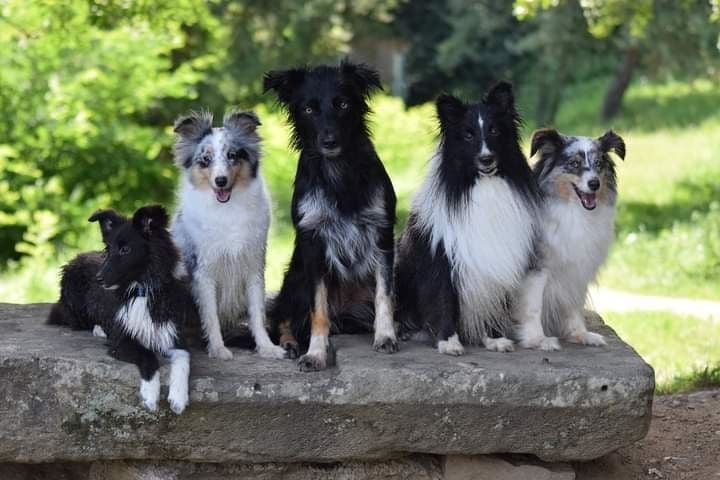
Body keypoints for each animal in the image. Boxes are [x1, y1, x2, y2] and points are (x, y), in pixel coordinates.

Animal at [48, 205, 200, 412]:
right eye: (108, 249)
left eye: (125, 249)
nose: (98, 279)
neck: (141, 290)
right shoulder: (121, 339)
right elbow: (148, 355)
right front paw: (150, 396)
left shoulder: (174, 334)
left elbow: (184, 360)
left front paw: (178, 397)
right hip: (74, 299)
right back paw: (99, 329)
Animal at [264, 60, 400, 374]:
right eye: (308, 109)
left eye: (343, 104)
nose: (329, 141)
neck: (338, 170)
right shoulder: (313, 243)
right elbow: (318, 310)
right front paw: (315, 353)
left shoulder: (382, 233)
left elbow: (384, 294)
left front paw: (386, 335)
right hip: (296, 276)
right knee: (281, 317)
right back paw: (290, 343)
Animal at [394, 81, 540, 356]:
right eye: (468, 135)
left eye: (494, 131)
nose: (486, 159)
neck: (483, 185)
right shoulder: (441, 260)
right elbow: (443, 302)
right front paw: (449, 342)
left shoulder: (498, 260)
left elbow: (494, 301)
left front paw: (495, 339)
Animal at [512, 129, 624, 350]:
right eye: (574, 163)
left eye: (599, 163)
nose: (594, 184)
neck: (574, 211)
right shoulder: (537, 268)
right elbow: (533, 306)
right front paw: (537, 339)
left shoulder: (577, 270)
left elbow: (573, 304)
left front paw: (580, 334)